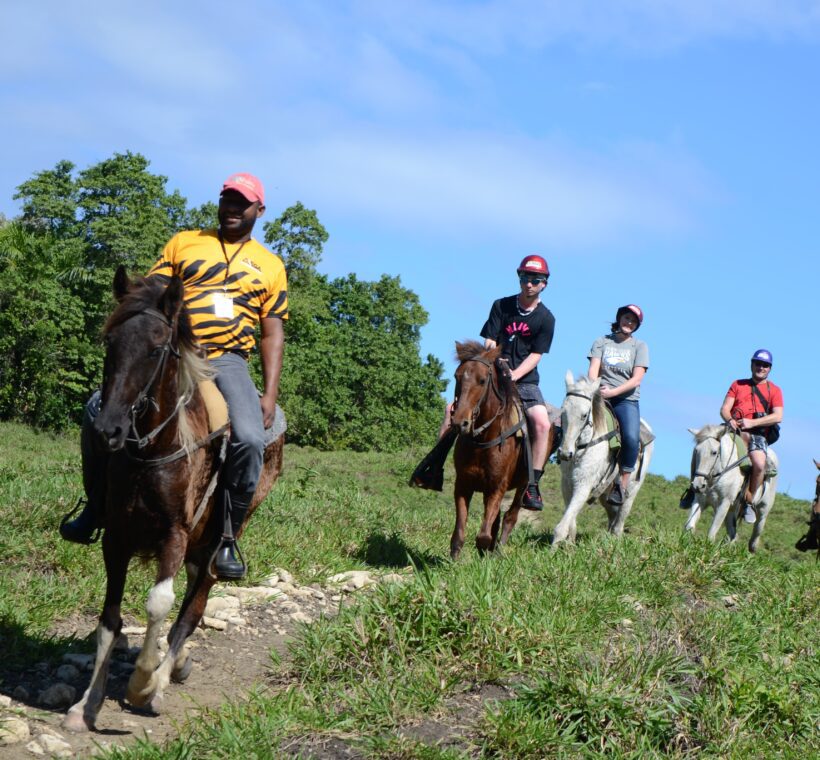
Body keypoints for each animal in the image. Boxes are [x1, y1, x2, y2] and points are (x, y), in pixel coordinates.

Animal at [62, 268, 284, 732]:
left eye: (156, 349)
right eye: (111, 343)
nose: (108, 429)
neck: (152, 450)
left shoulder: (174, 536)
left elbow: (158, 603)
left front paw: (141, 683)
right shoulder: (116, 538)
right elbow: (109, 620)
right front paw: (85, 705)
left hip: (218, 542)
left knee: (192, 608)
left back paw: (161, 682)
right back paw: (175, 664)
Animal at [446, 342, 556, 560]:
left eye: (482, 380)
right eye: (457, 376)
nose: (460, 423)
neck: (483, 438)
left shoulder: (498, 487)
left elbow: (484, 535)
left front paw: (487, 554)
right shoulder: (463, 485)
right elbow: (460, 532)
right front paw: (453, 561)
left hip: (522, 486)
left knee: (510, 517)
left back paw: (498, 550)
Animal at [552, 370, 652, 544]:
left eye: (584, 415)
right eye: (562, 411)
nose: (565, 453)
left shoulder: (583, 485)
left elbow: (561, 528)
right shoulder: (566, 484)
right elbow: (570, 521)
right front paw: (570, 544)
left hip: (631, 492)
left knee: (619, 524)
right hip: (605, 495)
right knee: (612, 518)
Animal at [684, 422, 780, 552]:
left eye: (714, 452)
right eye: (696, 451)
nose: (698, 485)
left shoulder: (724, 503)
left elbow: (711, 533)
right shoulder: (700, 500)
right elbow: (690, 527)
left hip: (762, 513)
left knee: (753, 541)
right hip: (731, 512)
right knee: (733, 535)